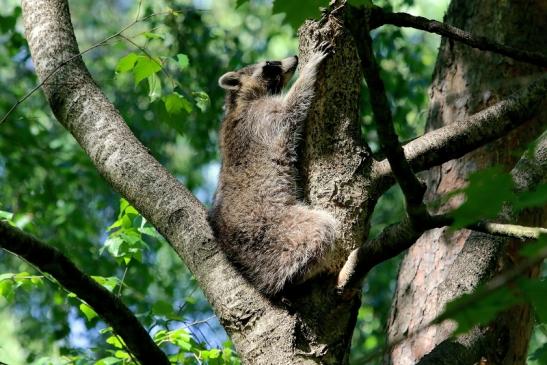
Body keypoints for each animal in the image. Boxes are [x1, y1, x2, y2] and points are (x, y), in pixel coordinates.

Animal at [210, 42, 338, 294]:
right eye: (270, 64)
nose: (295, 58)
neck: (241, 100)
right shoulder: (264, 117)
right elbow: (294, 104)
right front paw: (310, 69)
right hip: (276, 231)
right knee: (321, 229)